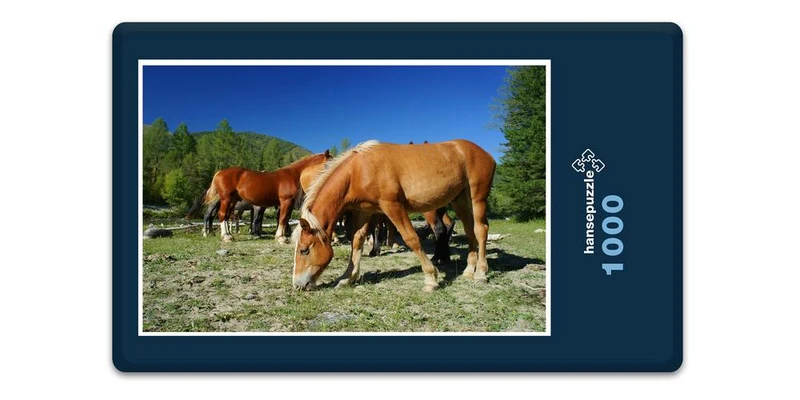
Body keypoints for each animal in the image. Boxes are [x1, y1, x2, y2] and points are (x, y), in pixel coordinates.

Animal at [202, 150, 331, 242]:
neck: (293, 174)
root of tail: (219, 172)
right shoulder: (286, 201)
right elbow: (282, 218)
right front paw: (281, 238)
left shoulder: (288, 203)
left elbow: (285, 219)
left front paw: (282, 236)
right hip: (226, 199)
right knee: (222, 215)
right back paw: (225, 236)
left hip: (232, 201)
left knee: (227, 216)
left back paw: (229, 235)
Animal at [292, 140, 496, 292]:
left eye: (304, 250)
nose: (297, 285)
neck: (359, 170)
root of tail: (486, 154)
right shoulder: (364, 211)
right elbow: (356, 241)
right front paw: (347, 277)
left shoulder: (393, 207)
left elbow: (411, 239)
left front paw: (431, 278)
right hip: (459, 200)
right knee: (469, 231)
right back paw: (469, 270)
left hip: (477, 198)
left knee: (481, 230)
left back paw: (481, 273)